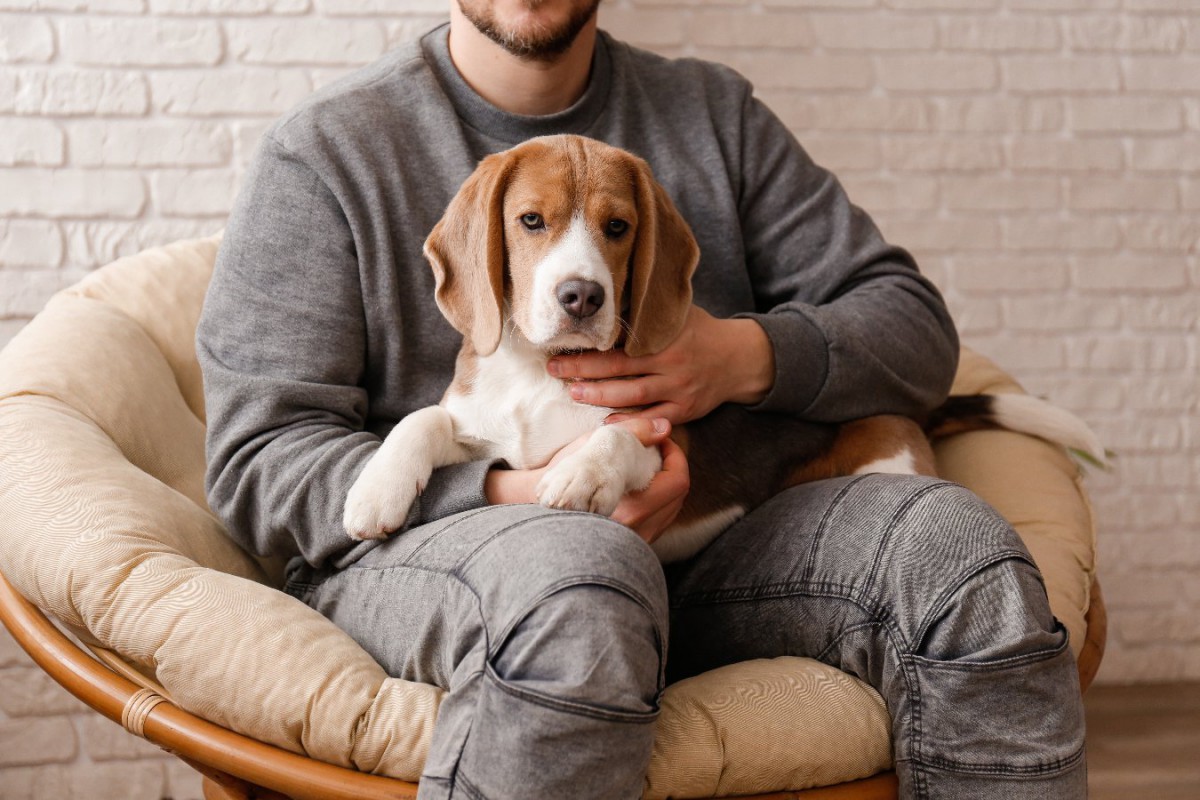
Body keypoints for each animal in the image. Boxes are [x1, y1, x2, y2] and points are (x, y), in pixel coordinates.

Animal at [343, 136, 1099, 563]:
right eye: (531, 220)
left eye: (618, 227)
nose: (582, 297)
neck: (542, 371)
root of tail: (912, 411)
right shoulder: (482, 427)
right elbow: (423, 420)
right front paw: (376, 491)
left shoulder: (659, 434)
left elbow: (617, 437)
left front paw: (581, 473)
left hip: (889, 462)